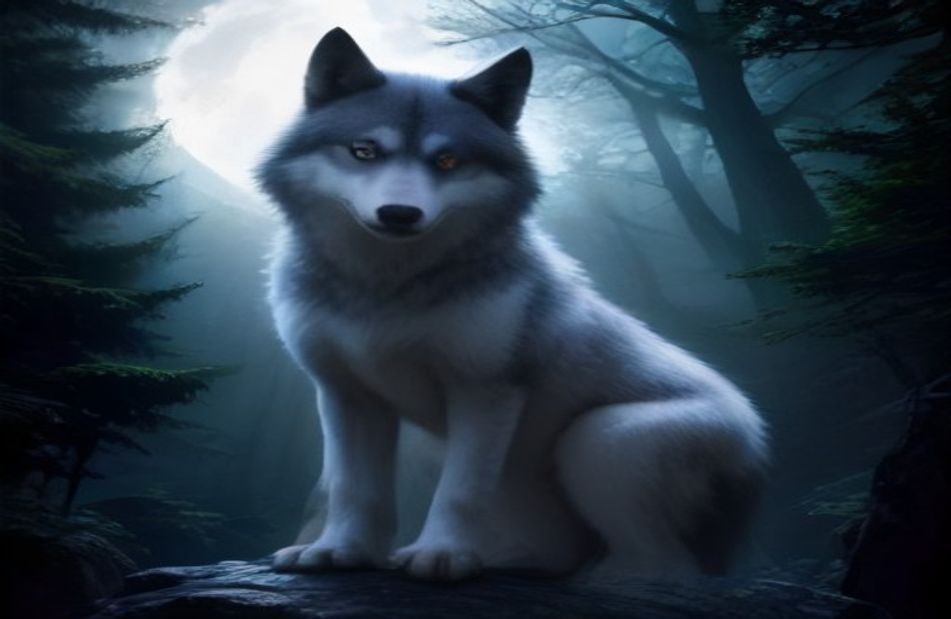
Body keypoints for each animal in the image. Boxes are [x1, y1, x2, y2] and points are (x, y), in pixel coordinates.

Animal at [257, 27, 767, 581]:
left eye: (447, 161)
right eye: (364, 151)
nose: (399, 213)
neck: (385, 286)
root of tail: (759, 441)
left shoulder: (486, 389)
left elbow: (459, 492)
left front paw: (440, 555)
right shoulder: (345, 394)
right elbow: (352, 489)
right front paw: (340, 552)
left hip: (599, 439)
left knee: (666, 569)